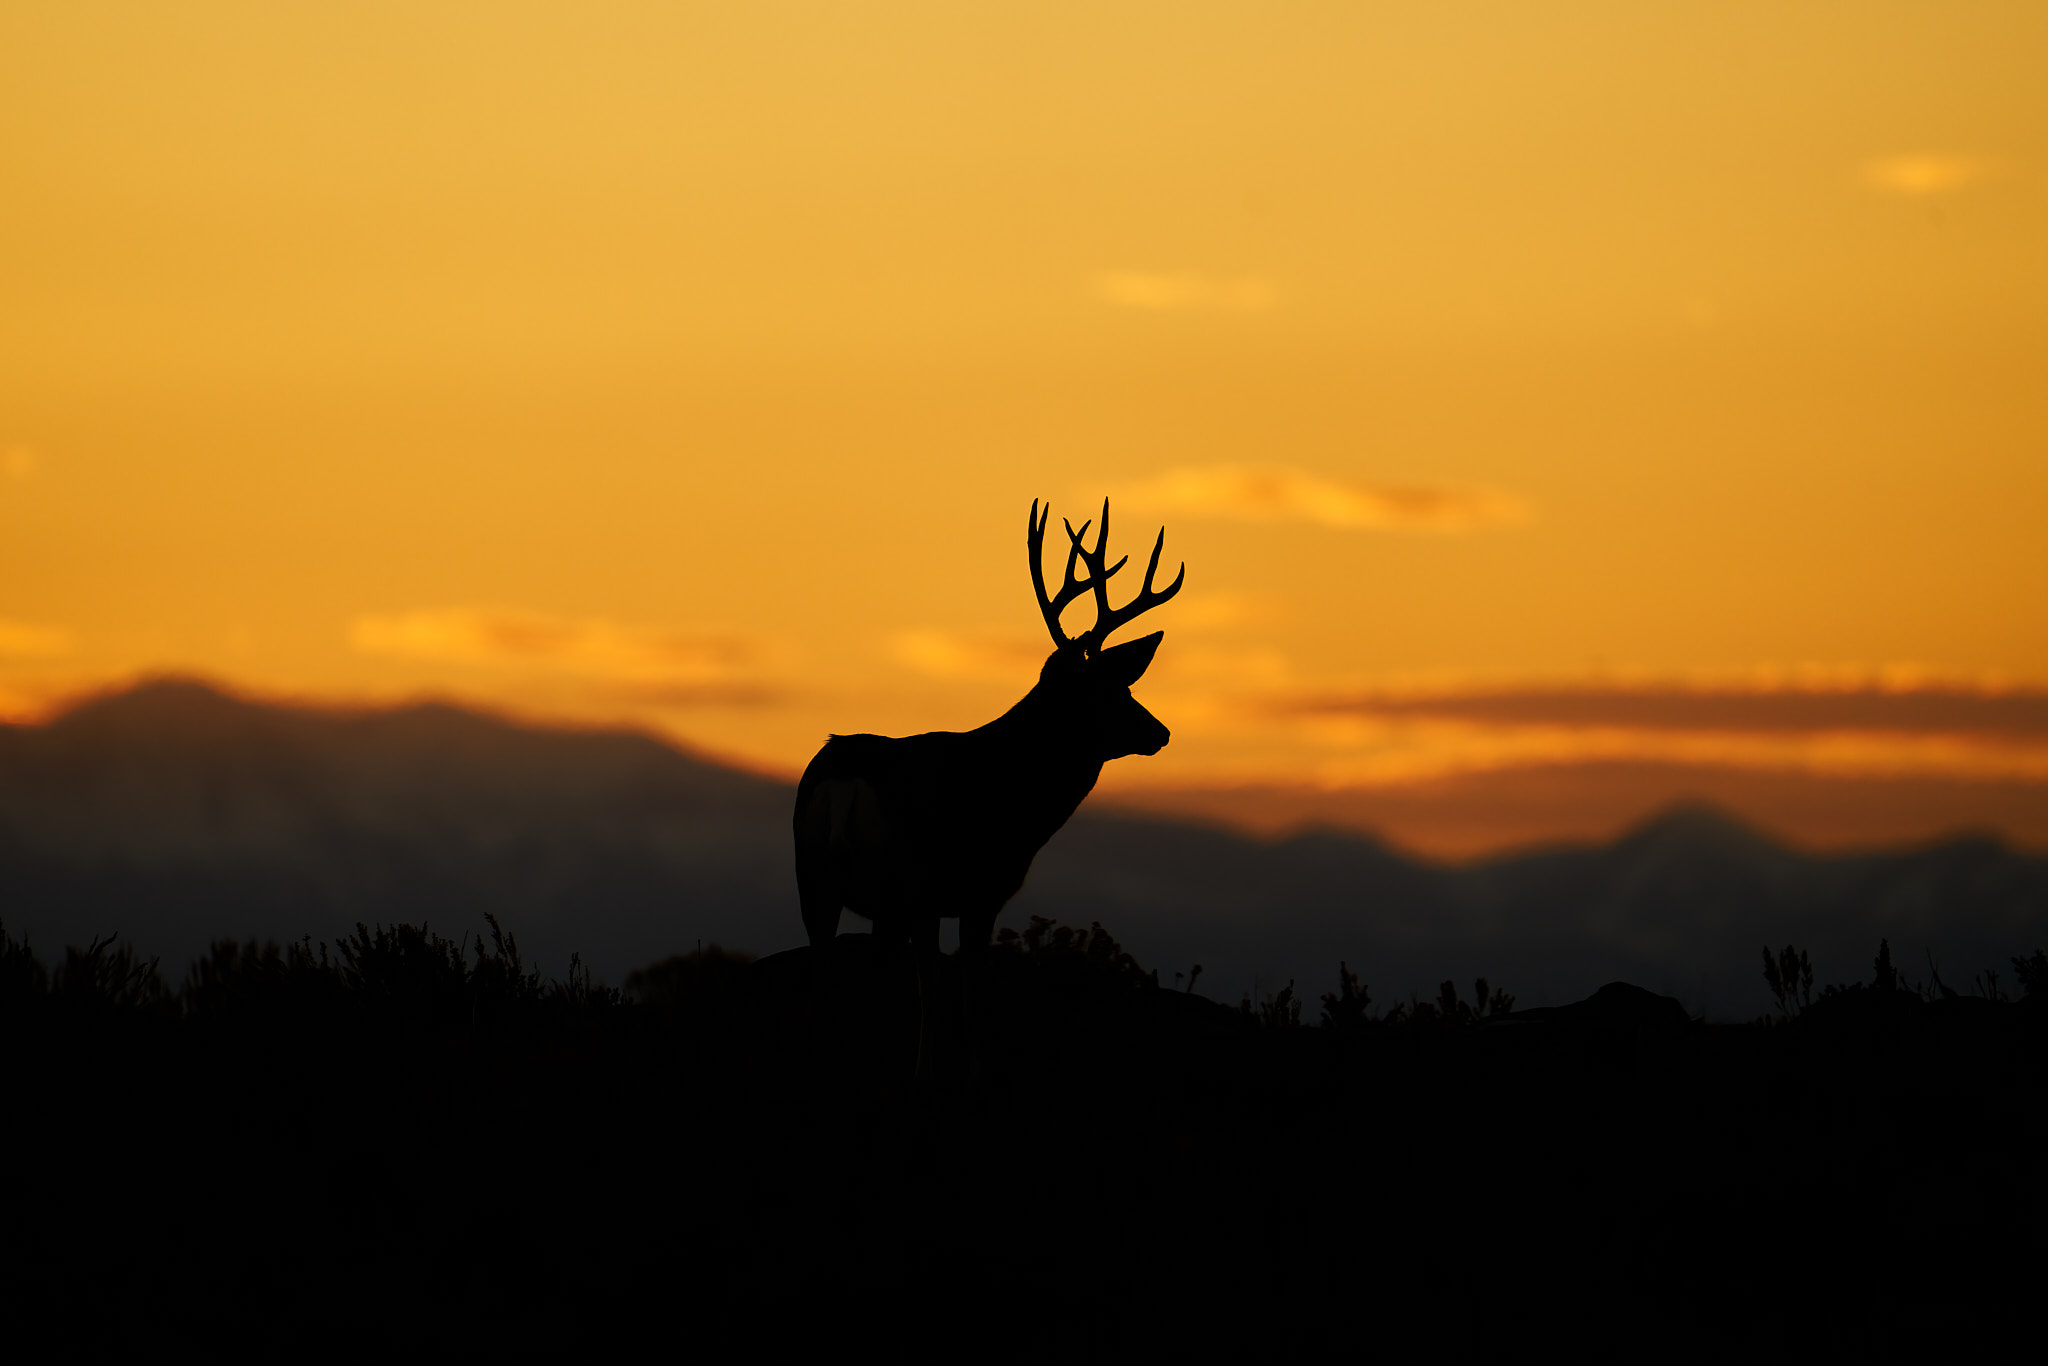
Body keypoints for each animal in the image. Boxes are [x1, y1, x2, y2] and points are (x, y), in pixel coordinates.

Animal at [792, 498, 1184, 979]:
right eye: (1115, 690)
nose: (1161, 732)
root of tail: (845, 777)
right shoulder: (981, 891)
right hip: (908, 881)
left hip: (816, 881)